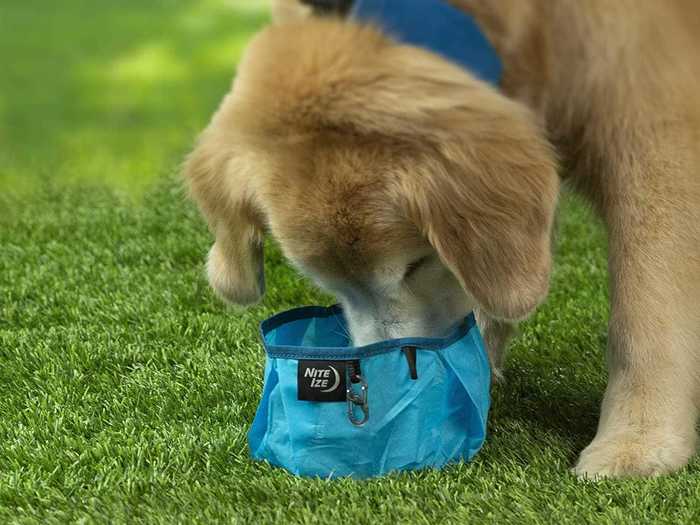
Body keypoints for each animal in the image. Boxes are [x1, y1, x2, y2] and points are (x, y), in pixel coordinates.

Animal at [185, 0, 700, 476]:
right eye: (331, 285)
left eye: (415, 265)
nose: (386, 380)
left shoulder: (655, 137)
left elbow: (643, 312)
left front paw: (637, 441)